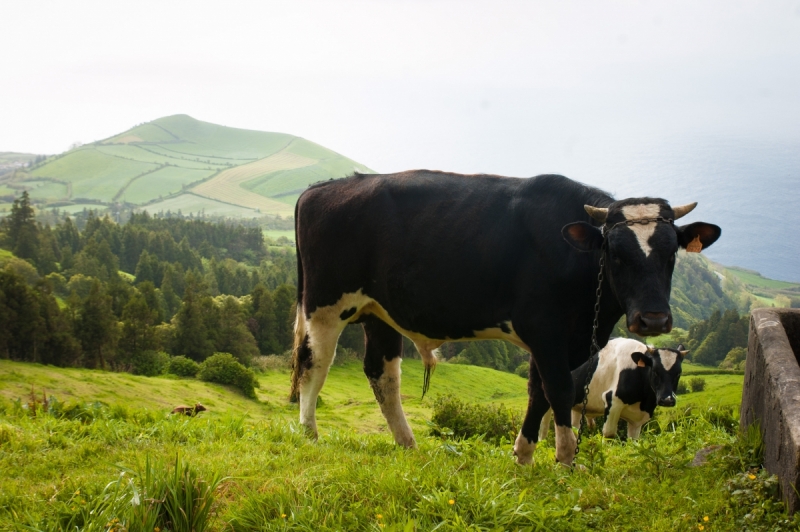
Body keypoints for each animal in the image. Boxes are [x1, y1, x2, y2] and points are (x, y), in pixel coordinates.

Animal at [540, 336, 692, 440]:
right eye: (655, 371)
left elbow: (633, 441)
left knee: (575, 426)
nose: (667, 400)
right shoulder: (612, 400)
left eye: (678, 373)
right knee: (544, 426)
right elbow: (609, 434)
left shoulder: (637, 420)